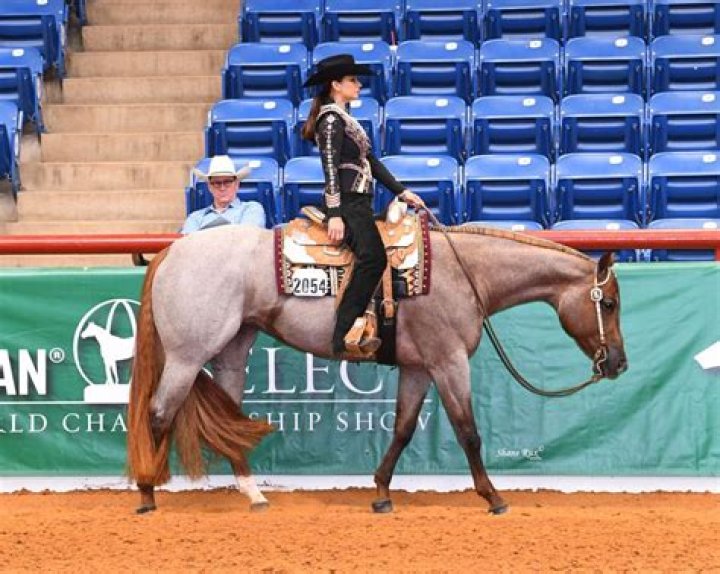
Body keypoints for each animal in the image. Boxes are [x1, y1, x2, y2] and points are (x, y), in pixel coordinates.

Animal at [127, 223, 627, 515]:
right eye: (610, 303)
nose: (619, 364)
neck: (463, 271)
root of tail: (171, 252)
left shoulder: (419, 367)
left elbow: (403, 428)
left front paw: (382, 491)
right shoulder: (448, 362)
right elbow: (468, 431)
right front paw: (494, 497)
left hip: (232, 350)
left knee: (228, 421)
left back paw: (253, 494)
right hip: (188, 357)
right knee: (158, 414)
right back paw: (148, 493)